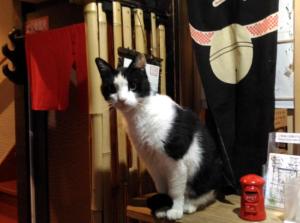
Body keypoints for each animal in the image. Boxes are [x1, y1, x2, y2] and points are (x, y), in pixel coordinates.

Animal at [95, 53, 221, 220]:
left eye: (133, 85)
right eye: (112, 88)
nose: (122, 99)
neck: (140, 113)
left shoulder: (176, 160)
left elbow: (175, 189)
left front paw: (175, 210)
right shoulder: (152, 162)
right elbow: (162, 187)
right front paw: (163, 207)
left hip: (205, 170)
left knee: (207, 192)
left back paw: (189, 205)